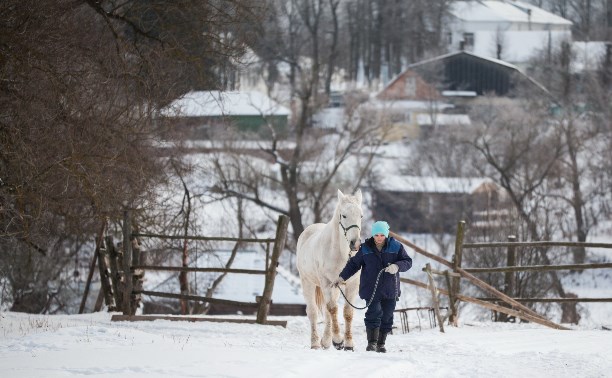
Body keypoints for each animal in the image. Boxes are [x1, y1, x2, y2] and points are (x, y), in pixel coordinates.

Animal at [298, 188, 364, 350]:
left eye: (360, 216)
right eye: (344, 215)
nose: (355, 243)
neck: (341, 254)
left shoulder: (351, 285)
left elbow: (347, 312)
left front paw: (348, 344)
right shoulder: (326, 283)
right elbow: (333, 309)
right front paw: (339, 340)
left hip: (336, 288)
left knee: (327, 312)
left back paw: (326, 341)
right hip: (308, 282)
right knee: (313, 312)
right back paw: (316, 343)